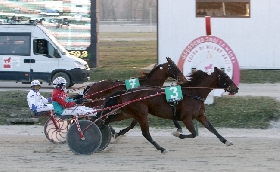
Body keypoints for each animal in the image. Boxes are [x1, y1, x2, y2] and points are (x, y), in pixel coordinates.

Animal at [98, 67, 238, 153]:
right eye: (225, 76)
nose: (236, 88)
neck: (193, 93)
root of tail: (125, 92)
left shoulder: (200, 116)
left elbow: (213, 129)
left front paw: (226, 141)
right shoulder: (186, 118)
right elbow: (193, 133)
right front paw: (177, 133)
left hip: (128, 112)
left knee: (108, 119)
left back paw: (104, 130)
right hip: (141, 114)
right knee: (146, 133)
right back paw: (161, 148)